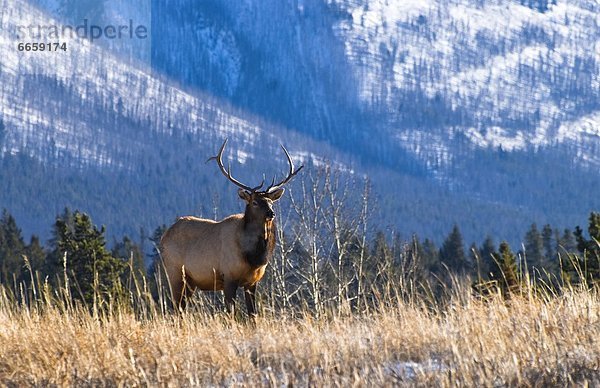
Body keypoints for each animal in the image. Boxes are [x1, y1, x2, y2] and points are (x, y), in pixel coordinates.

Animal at [159, 139, 302, 316]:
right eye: (254, 202)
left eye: (270, 201)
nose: (271, 213)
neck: (253, 257)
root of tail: (163, 237)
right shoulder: (228, 276)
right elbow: (231, 313)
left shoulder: (252, 282)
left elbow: (253, 314)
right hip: (175, 272)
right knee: (175, 307)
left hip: (190, 282)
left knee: (181, 308)